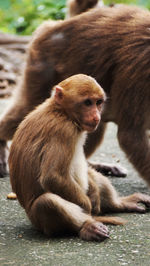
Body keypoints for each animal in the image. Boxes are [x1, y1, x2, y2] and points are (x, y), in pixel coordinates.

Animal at [8, 75, 150, 241]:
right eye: (87, 102)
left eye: (98, 102)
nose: (97, 116)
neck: (61, 112)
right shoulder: (63, 130)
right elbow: (53, 177)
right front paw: (87, 208)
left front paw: (94, 192)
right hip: (40, 222)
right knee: (47, 202)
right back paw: (87, 226)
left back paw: (119, 204)